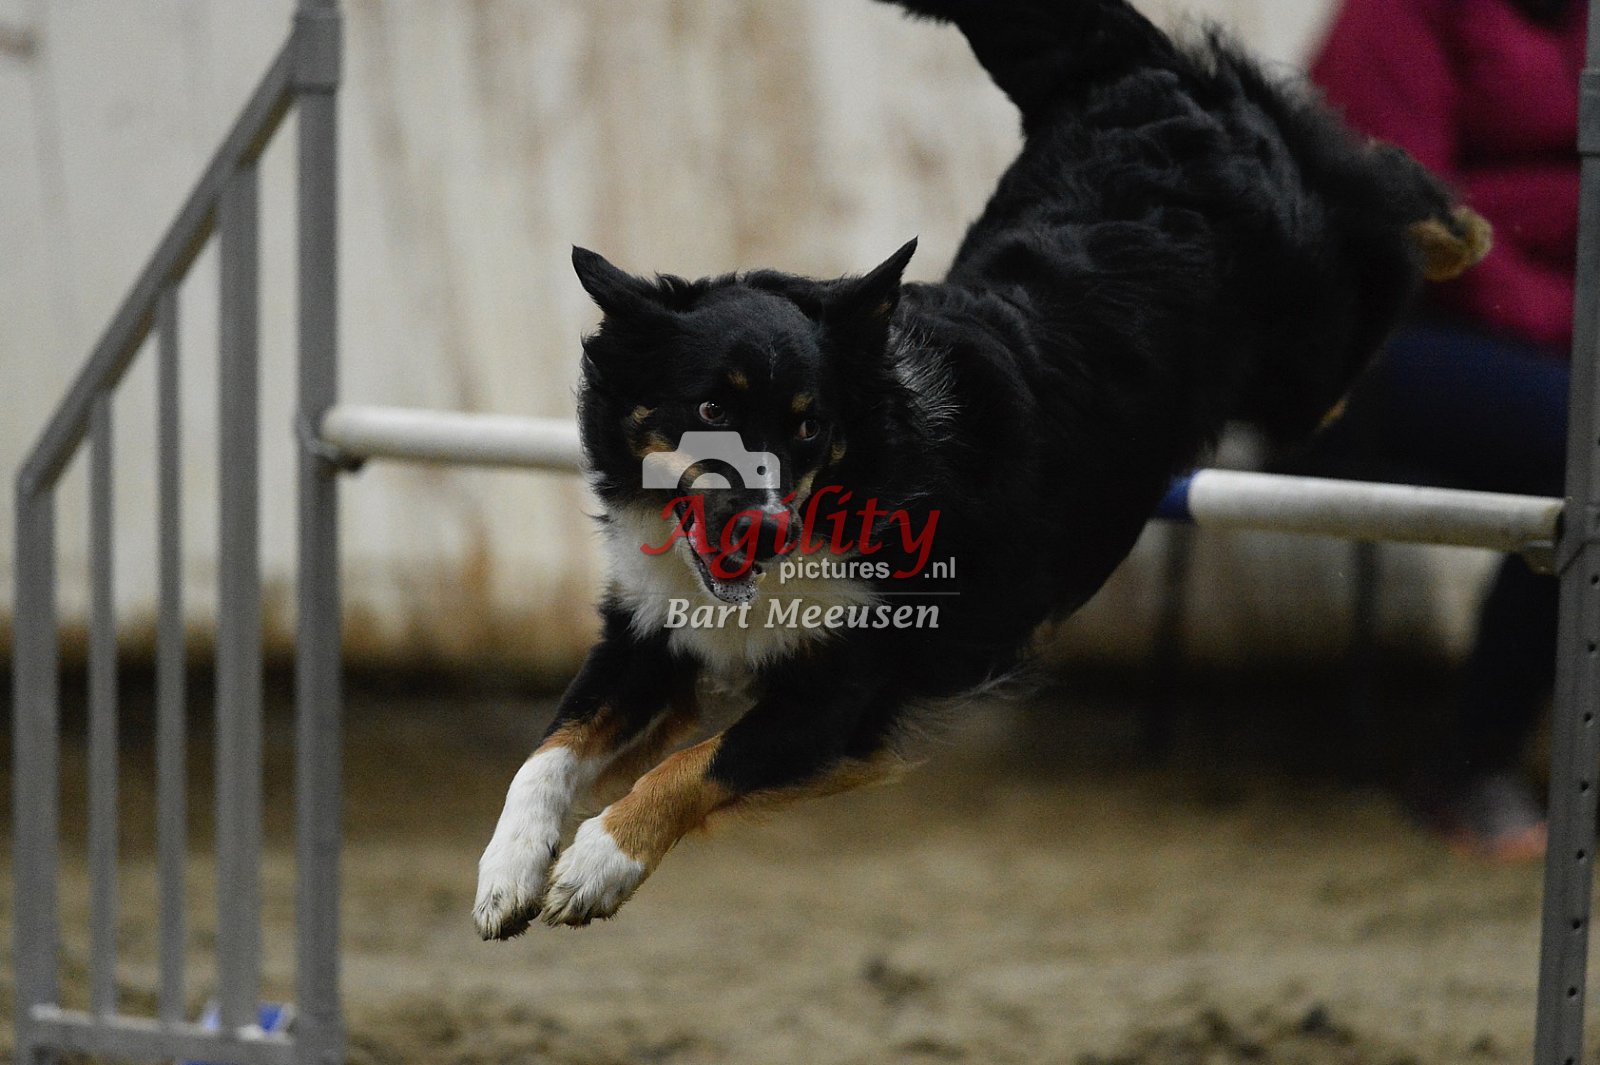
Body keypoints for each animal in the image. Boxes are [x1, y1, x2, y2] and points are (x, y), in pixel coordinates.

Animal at [473, 0, 1490, 935]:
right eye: (712, 412)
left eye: (808, 427)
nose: (764, 527)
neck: (852, 487)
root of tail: (1136, 82)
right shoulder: (651, 635)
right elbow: (546, 750)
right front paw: (508, 873)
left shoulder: (843, 694)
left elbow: (697, 762)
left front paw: (599, 859)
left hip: (1305, 355)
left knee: (1366, 207)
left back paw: (1458, 227)